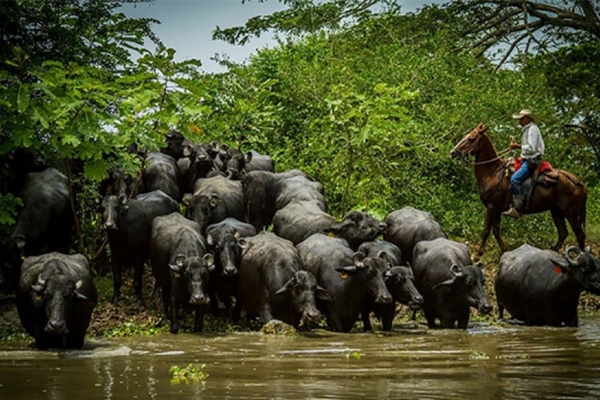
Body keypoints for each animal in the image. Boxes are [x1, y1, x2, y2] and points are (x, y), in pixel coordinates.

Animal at [450, 123, 584, 258]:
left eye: (471, 138)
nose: (453, 152)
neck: (492, 174)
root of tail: (577, 182)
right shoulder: (497, 209)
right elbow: (496, 230)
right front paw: (504, 250)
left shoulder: (491, 207)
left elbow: (486, 230)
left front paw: (478, 254)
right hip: (556, 210)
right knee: (563, 233)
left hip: (571, 213)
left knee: (580, 235)